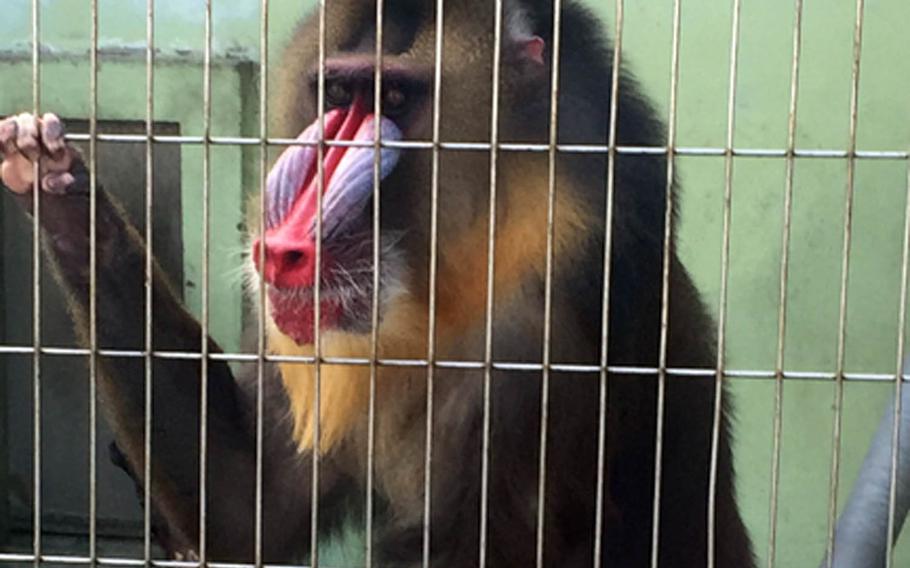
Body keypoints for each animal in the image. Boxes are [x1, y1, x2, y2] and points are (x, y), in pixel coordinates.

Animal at [0, 0, 756, 564]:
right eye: (337, 93)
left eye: (392, 95)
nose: (283, 250)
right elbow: (248, 509)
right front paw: (58, 184)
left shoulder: (544, 325)